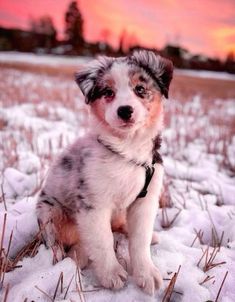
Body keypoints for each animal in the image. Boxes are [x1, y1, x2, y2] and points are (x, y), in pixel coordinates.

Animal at [36, 50, 173, 294]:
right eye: (108, 92)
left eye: (140, 89)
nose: (125, 110)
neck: (127, 151)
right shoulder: (94, 204)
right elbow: (102, 241)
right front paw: (111, 274)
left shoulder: (145, 201)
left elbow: (140, 239)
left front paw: (146, 273)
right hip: (49, 210)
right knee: (57, 239)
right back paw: (64, 256)